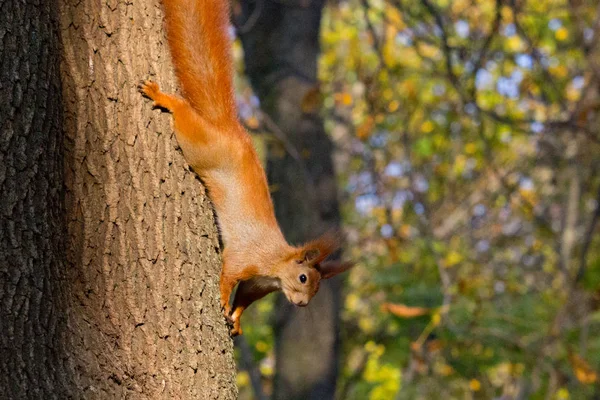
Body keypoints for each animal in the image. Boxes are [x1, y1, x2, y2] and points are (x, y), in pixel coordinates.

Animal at [138, 0, 350, 334]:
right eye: (303, 277)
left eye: (317, 289)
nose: (302, 304)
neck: (275, 264)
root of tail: (231, 131)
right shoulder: (245, 258)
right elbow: (227, 277)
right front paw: (223, 302)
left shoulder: (259, 284)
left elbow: (245, 297)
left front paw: (236, 319)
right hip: (200, 146)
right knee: (184, 115)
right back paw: (164, 98)